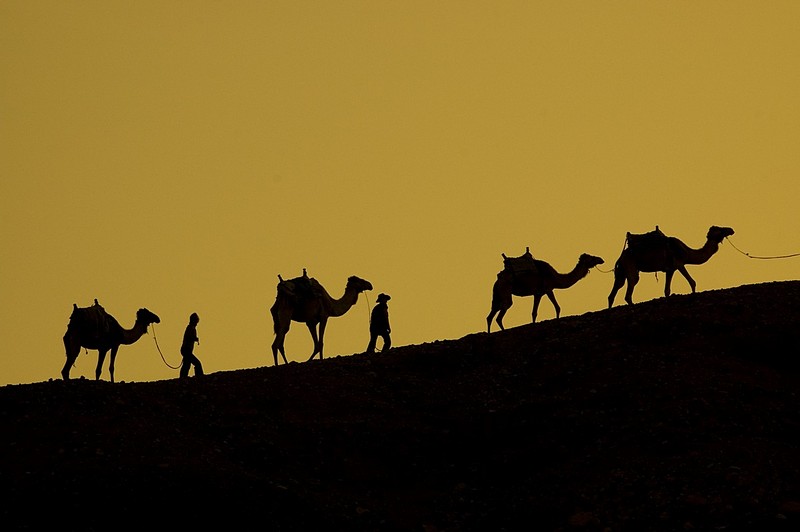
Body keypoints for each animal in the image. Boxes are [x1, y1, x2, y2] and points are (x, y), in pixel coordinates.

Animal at [608, 224, 736, 308]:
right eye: (719, 229)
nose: (731, 229)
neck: (687, 252)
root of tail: (621, 256)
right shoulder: (679, 263)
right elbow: (692, 282)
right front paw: (693, 296)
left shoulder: (670, 269)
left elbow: (667, 290)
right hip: (630, 265)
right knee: (631, 286)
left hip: (622, 270)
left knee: (615, 290)